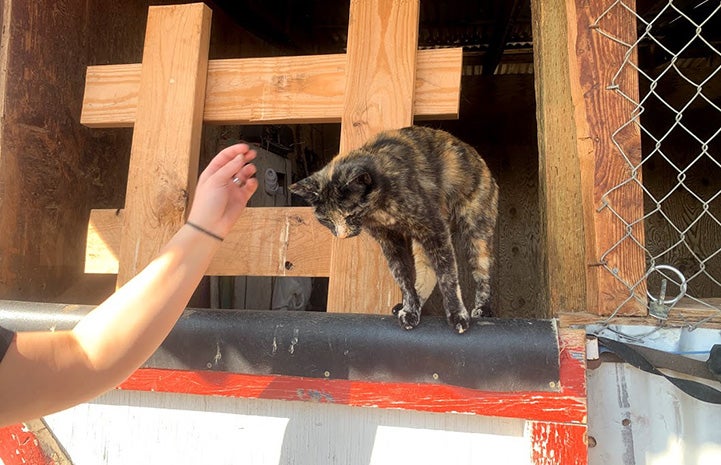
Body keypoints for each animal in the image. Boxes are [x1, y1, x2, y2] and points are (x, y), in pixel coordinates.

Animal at [290, 125, 498, 332]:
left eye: (350, 214)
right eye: (326, 219)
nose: (342, 235)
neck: (378, 210)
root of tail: (479, 160)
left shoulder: (434, 229)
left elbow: (448, 275)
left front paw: (457, 315)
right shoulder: (389, 242)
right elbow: (403, 278)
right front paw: (410, 310)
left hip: (475, 234)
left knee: (482, 273)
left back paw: (482, 308)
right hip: (420, 243)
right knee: (426, 272)